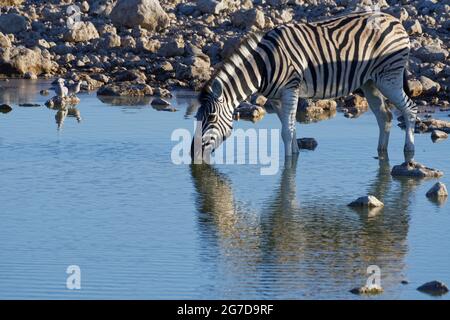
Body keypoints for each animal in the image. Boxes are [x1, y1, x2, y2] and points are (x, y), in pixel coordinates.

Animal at [191, 10, 418, 164]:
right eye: (197, 118)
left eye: (211, 117)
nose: (193, 154)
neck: (263, 66)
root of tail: (395, 19)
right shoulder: (276, 97)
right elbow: (289, 128)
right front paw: (294, 155)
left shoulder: (291, 89)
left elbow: (287, 130)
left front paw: (288, 165)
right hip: (370, 82)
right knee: (385, 116)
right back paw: (381, 152)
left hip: (389, 77)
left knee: (410, 108)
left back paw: (409, 150)